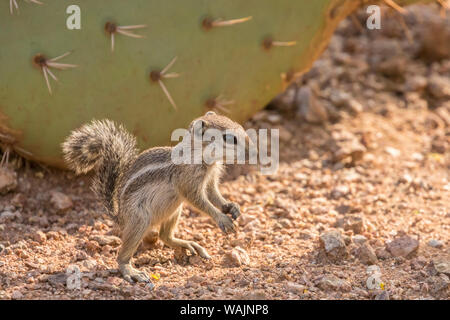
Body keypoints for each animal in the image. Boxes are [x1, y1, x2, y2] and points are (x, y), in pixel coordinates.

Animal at [62, 110, 253, 282]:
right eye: (229, 138)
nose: (252, 151)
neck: (202, 157)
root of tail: (119, 217)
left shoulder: (211, 178)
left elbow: (214, 195)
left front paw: (231, 207)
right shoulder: (187, 182)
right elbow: (199, 201)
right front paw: (222, 218)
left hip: (175, 209)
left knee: (164, 236)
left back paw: (188, 244)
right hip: (140, 219)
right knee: (123, 256)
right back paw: (131, 271)